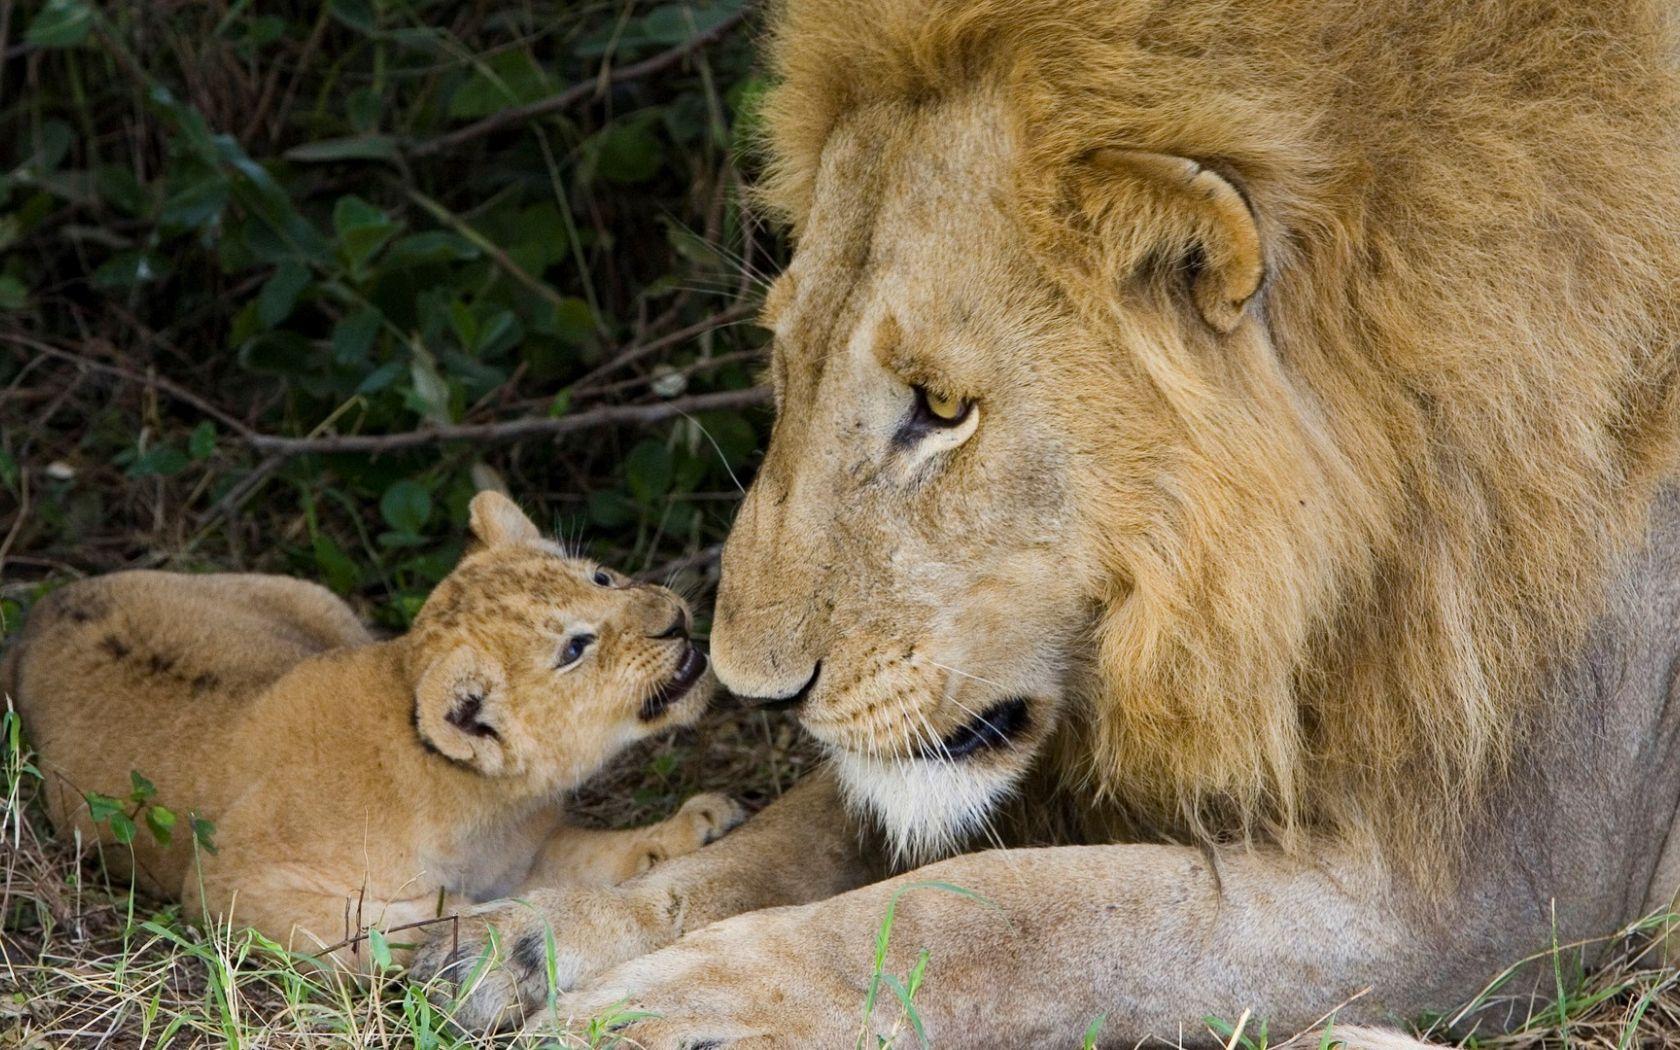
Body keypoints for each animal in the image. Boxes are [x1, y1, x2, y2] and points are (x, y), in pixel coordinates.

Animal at [4, 491, 742, 972]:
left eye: (601, 576)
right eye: (575, 648)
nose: (674, 618)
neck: (485, 807)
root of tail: (46, 603)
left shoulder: (524, 849)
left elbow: (593, 855)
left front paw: (695, 829)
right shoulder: (224, 887)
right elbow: (373, 925)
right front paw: (468, 919)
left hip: (313, 599)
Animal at [411, 0, 1680, 1044]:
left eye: (942, 409)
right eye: (786, 361)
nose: (752, 691)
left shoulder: (1498, 893)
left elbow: (1013, 912)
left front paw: (691, 1008)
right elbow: (794, 833)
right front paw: (515, 942)